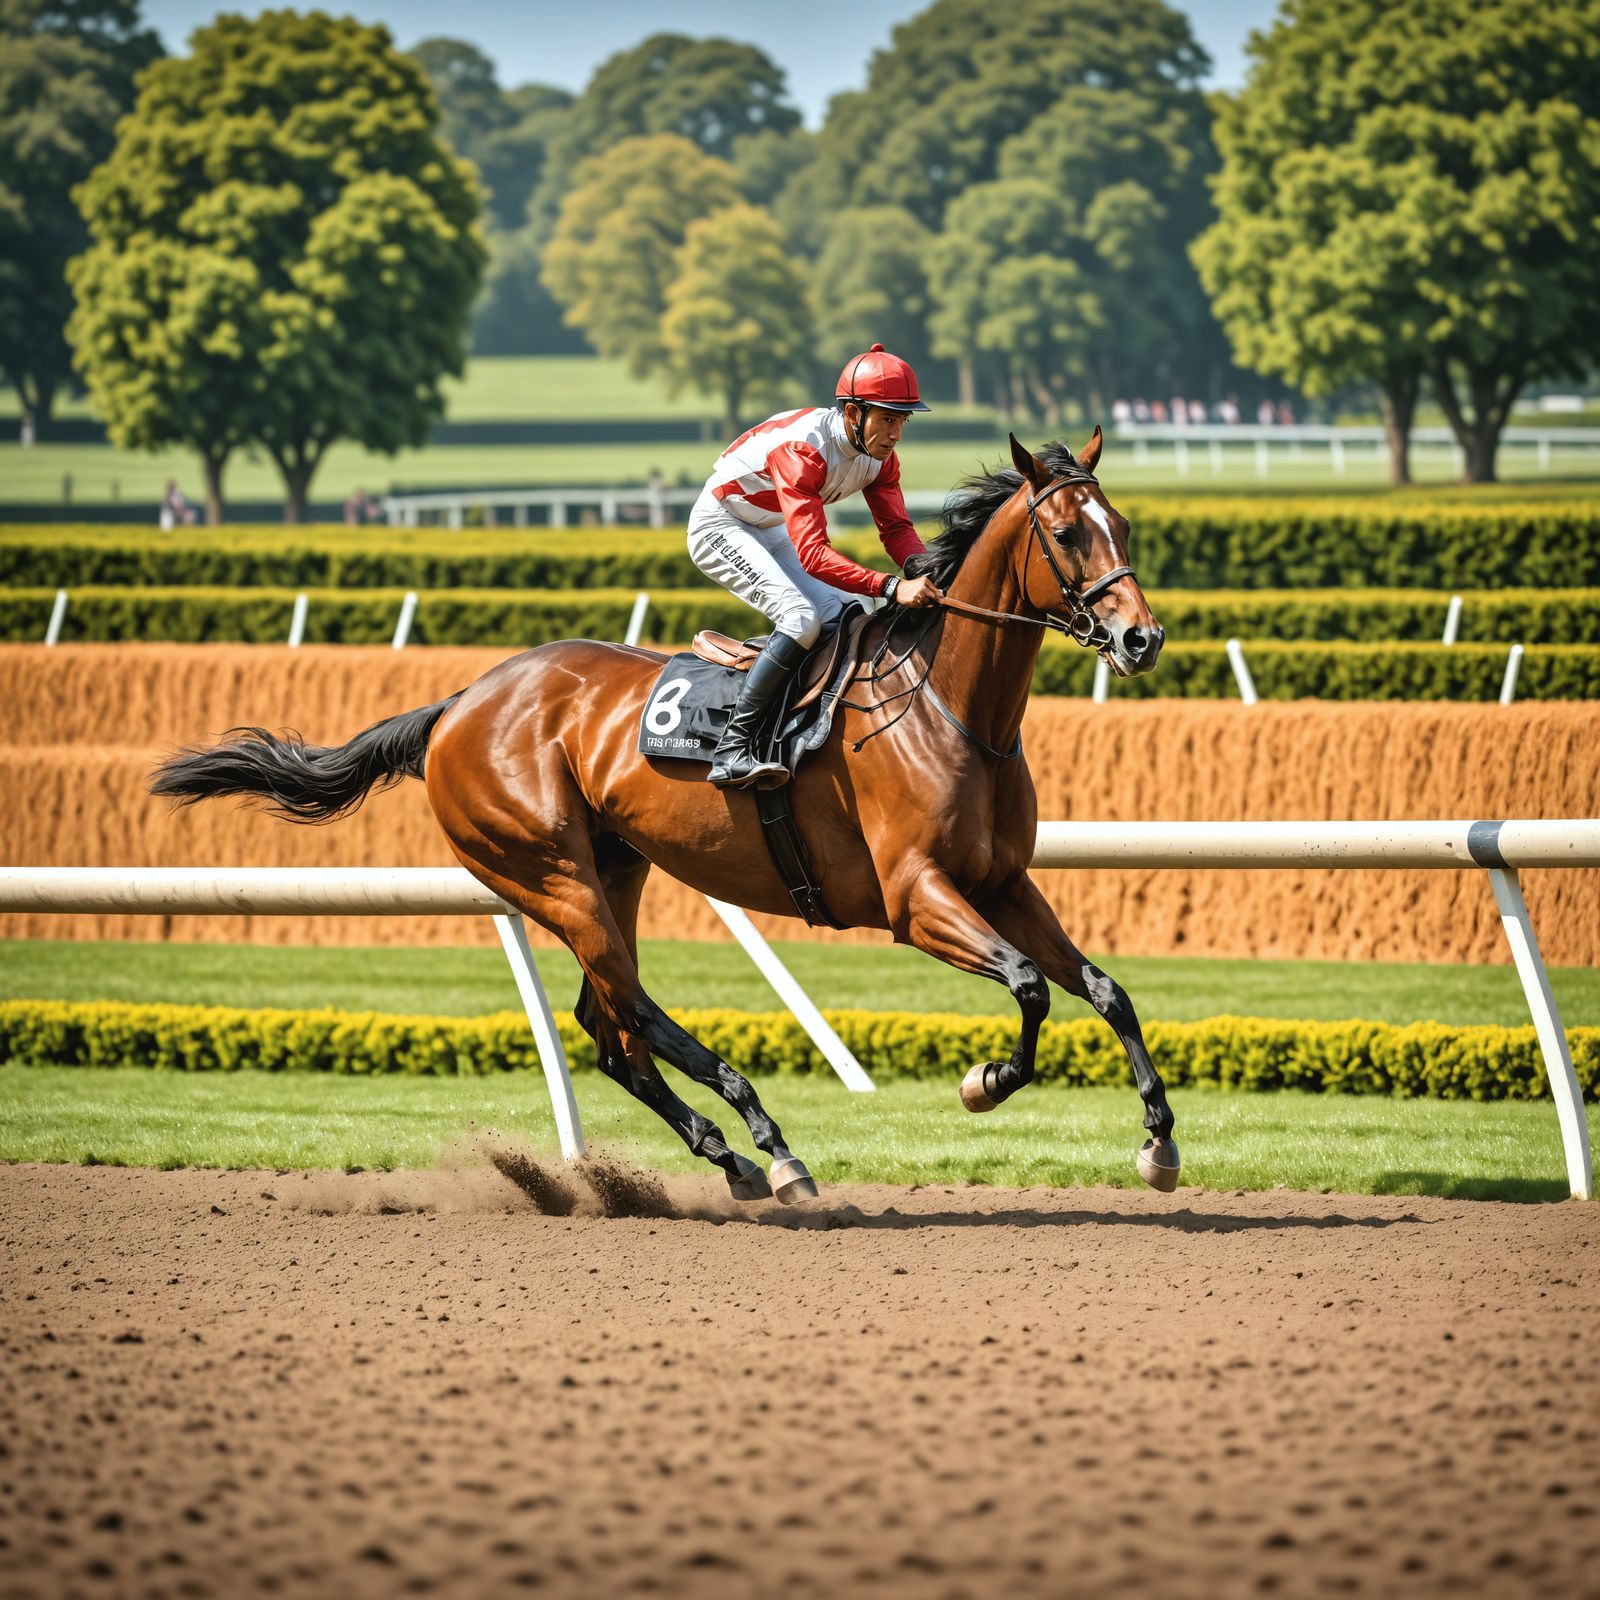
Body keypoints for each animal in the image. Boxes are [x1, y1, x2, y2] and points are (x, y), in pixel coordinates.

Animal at [151, 429, 1178, 1204]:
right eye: (1065, 532)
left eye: (1122, 523)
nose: (1142, 637)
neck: (947, 706)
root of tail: (457, 705)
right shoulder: (913, 895)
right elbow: (1032, 988)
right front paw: (984, 1082)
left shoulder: (1001, 882)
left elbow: (1104, 990)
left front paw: (1159, 1142)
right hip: (550, 873)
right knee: (634, 1012)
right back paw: (770, 1142)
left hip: (615, 867)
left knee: (611, 1030)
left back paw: (731, 1157)